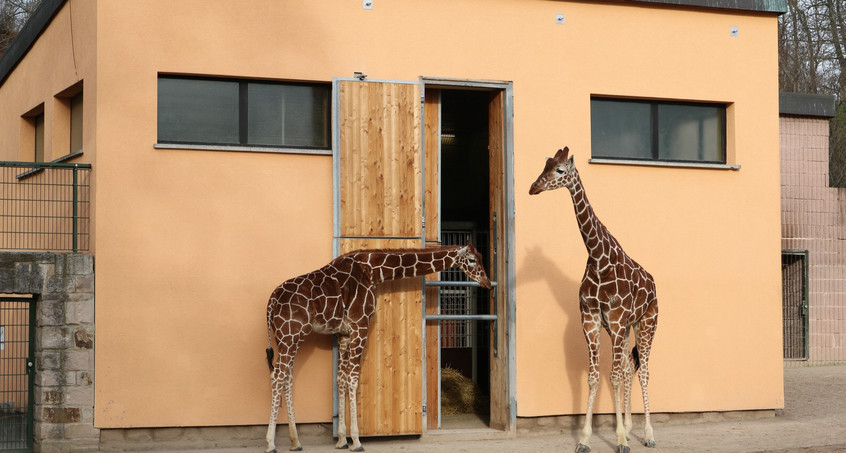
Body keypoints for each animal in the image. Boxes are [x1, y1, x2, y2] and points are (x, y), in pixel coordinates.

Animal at [264, 242, 490, 450]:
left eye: (480, 258)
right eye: (472, 260)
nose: (487, 283)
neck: (372, 271)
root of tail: (271, 301)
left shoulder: (344, 333)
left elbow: (341, 379)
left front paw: (341, 440)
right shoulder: (361, 325)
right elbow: (352, 380)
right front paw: (356, 441)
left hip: (290, 338)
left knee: (286, 378)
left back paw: (295, 442)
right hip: (290, 335)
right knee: (277, 376)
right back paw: (270, 443)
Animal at [528, 147, 664, 452]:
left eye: (560, 170)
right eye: (545, 165)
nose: (533, 187)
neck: (599, 259)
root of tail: (653, 284)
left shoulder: (617, 321)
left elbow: (612, 377)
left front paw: (621, 441)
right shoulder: (591, 321)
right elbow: (595, 377)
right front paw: (585, 439)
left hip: (646, 323)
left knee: (644, 371)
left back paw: (648, 435)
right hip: (624, 330)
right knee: (628, 367)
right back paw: (630, 427)